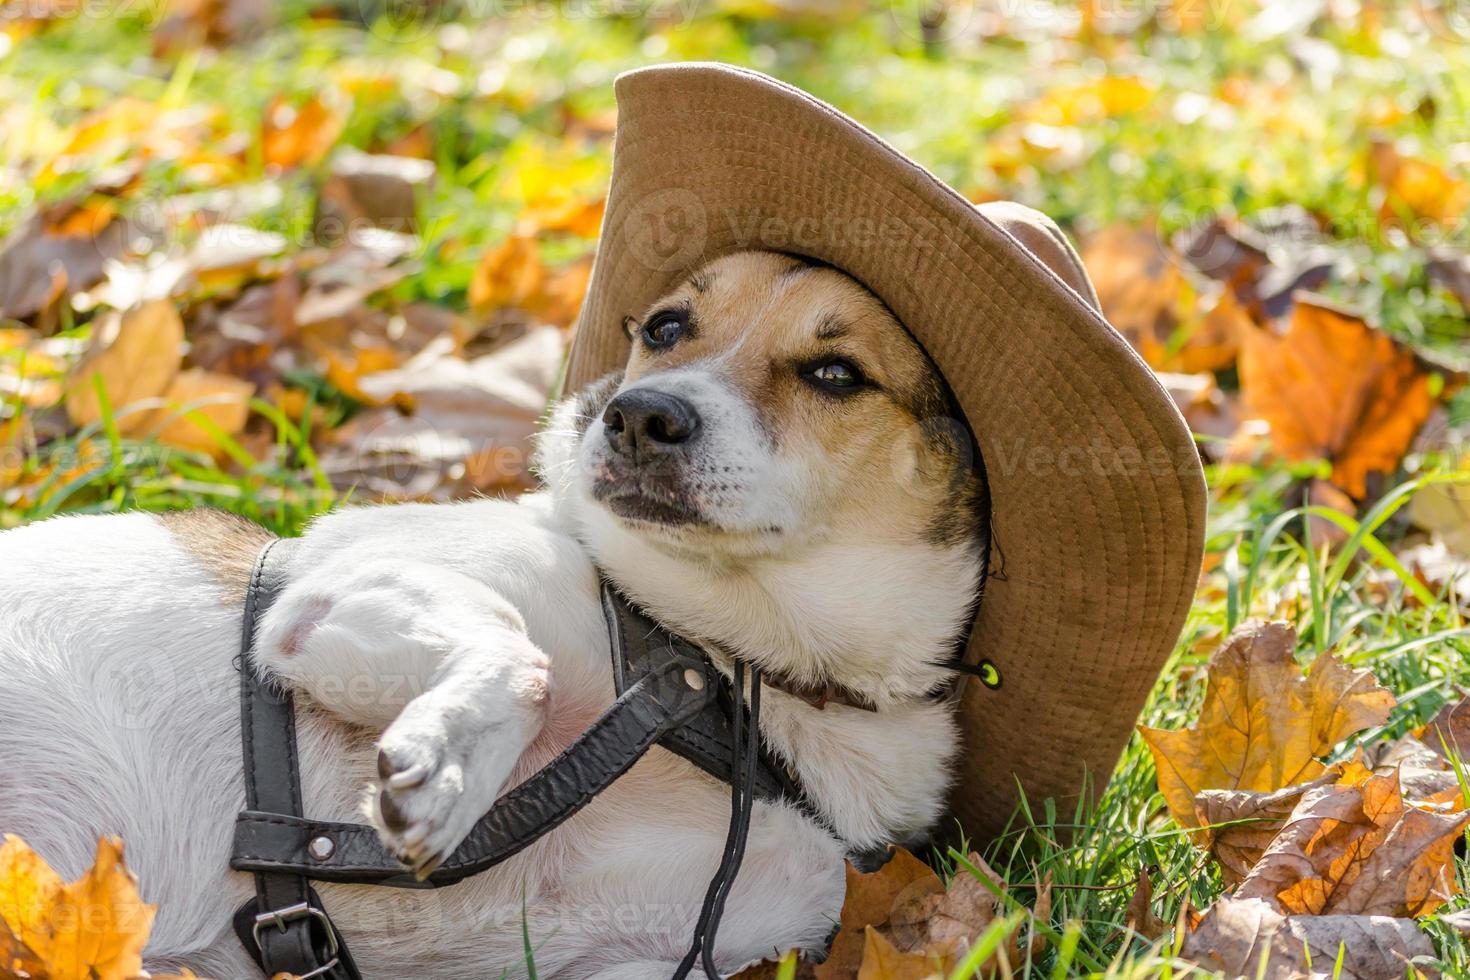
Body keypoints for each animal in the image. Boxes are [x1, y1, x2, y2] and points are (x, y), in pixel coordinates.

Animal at [2, 249, 987, 975]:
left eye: (836, 373)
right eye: (666, 328)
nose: (638, 415)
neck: (726, 662)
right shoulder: (326, 597)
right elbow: (522, 659)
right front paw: (443, 766)